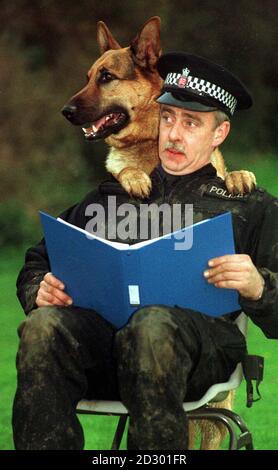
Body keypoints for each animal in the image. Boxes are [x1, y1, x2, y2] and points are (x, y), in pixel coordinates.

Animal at [62, 17, 254, 452]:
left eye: (106, 77)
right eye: (87, 77)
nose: (65, 110)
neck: (151, 145)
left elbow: (230, 175)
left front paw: (238, 176)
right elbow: (124, 172)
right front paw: (133, 177)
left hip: (216, 410)